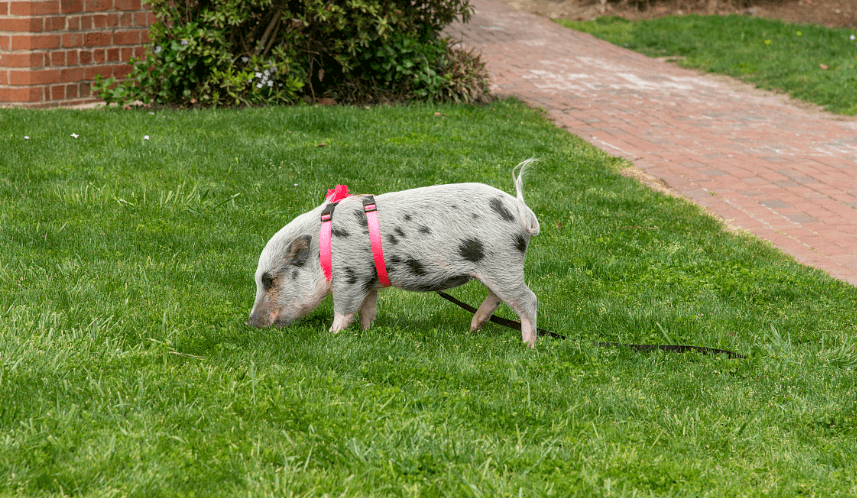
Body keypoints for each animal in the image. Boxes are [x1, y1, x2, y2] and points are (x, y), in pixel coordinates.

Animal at [249, 160, 540, 346]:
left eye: (270, 280)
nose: (250, 324)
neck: (323, 250)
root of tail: (523, 213)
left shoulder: (350, 275)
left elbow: (344, 309)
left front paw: (330, 335)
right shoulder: (368, 281)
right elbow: (367, 308)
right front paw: (366, 332)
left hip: (501, 261)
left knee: (528, 299)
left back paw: (528, 345)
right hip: (494, 267)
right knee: (499, 297)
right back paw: (473, 329)